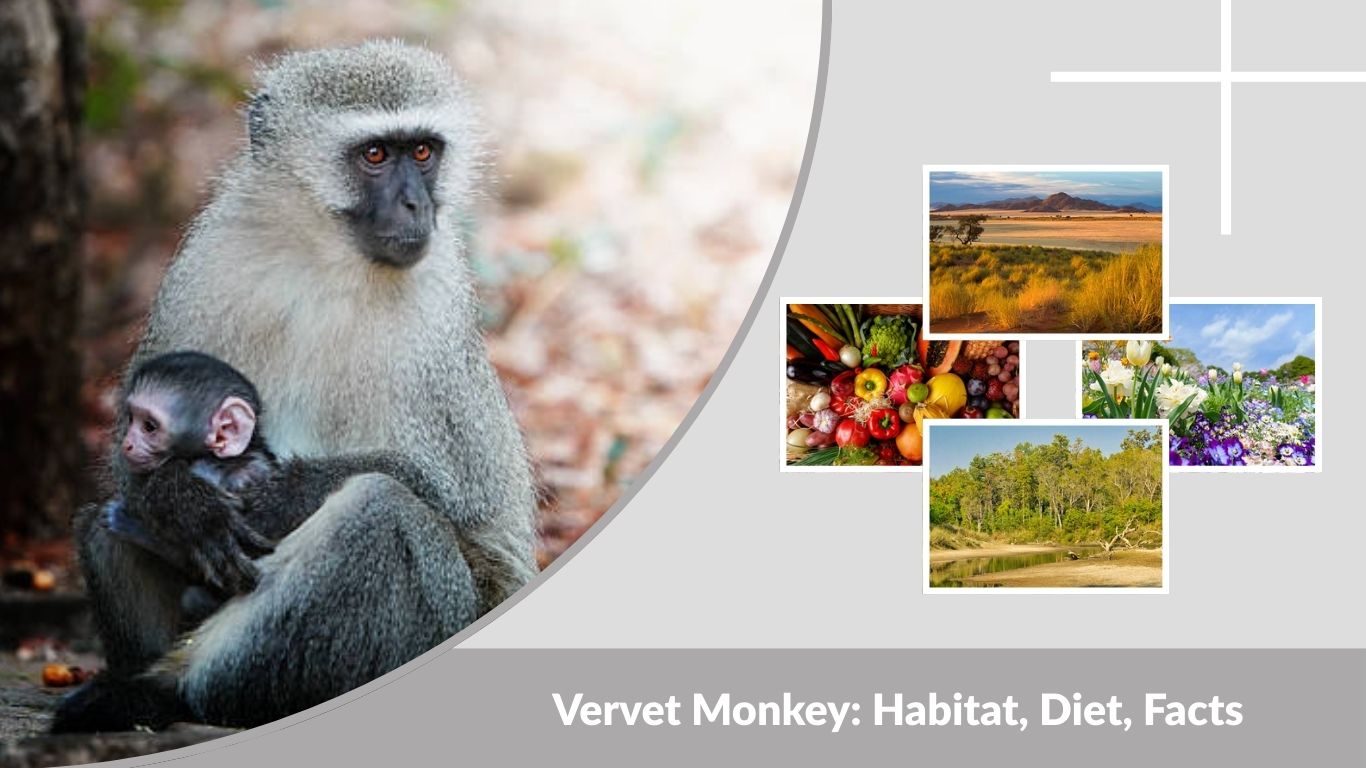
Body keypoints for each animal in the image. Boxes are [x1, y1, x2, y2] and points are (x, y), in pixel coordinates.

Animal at [55, 40, 539, 732]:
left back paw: (171, 693)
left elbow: (469, 511)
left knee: (380, 510)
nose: (416, 206)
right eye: (375, 155)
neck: (326, 263)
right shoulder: (209, 265)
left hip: (434, 624)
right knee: (108, 516)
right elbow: (131, 463)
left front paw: (282, 493)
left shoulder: (437, 324)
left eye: (423, 152)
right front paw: (181, 500)